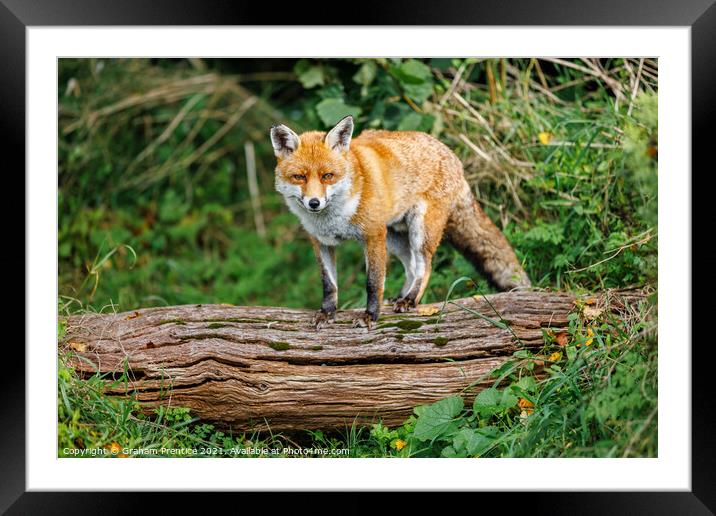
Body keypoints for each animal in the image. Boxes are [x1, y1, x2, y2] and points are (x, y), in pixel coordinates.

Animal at [272, 115, 528, 328]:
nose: (314, 203)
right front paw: (327, 313)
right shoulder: (321, 241)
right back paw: (401, 297)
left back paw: (411, 300)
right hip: (395, 237)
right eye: (299, 177)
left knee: (425, 266)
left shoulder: (373, 235)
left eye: (327, 176)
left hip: (419, 231)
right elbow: (329, 284)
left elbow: (373, 282)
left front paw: (370, 316)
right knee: (411, 266)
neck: (334, 218)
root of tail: (451, 154)